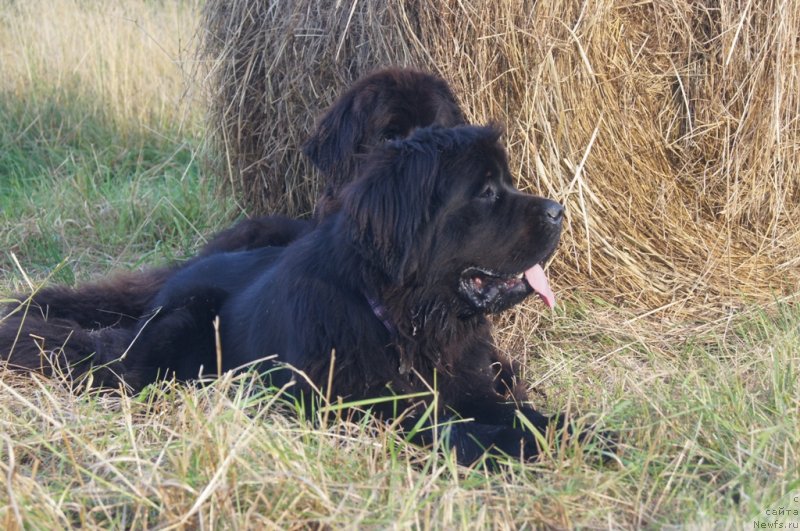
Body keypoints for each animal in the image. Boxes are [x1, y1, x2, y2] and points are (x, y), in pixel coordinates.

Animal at [3, 124, 580, 466]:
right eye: (486, 192)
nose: (559, 210)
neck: (404, 322)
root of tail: (179, 274)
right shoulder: (363, 410)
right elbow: (457, 431)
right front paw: (523, 444)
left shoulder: (467, 382)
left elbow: (515, 411)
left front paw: (578, 431)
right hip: (181, 325)